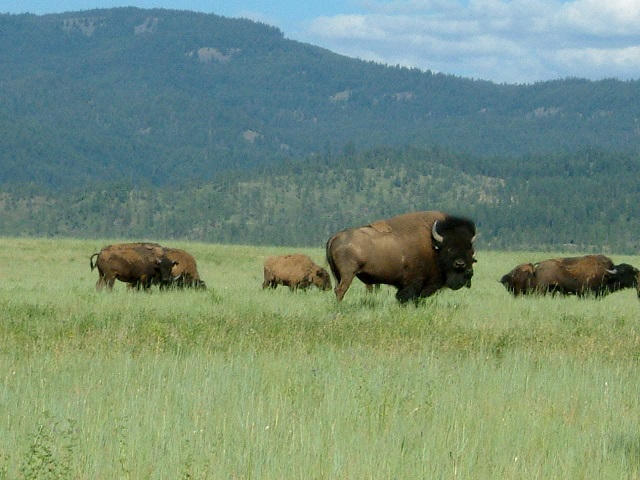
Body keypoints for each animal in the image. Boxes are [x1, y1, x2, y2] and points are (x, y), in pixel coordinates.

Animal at [326, 211, 476, 303]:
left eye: (469, 248)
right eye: (448, 248)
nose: (460, 263)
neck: (433, 245)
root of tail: (336, 236)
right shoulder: (414, 283)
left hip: (337, 275)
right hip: (348, 274)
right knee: (341, 289)